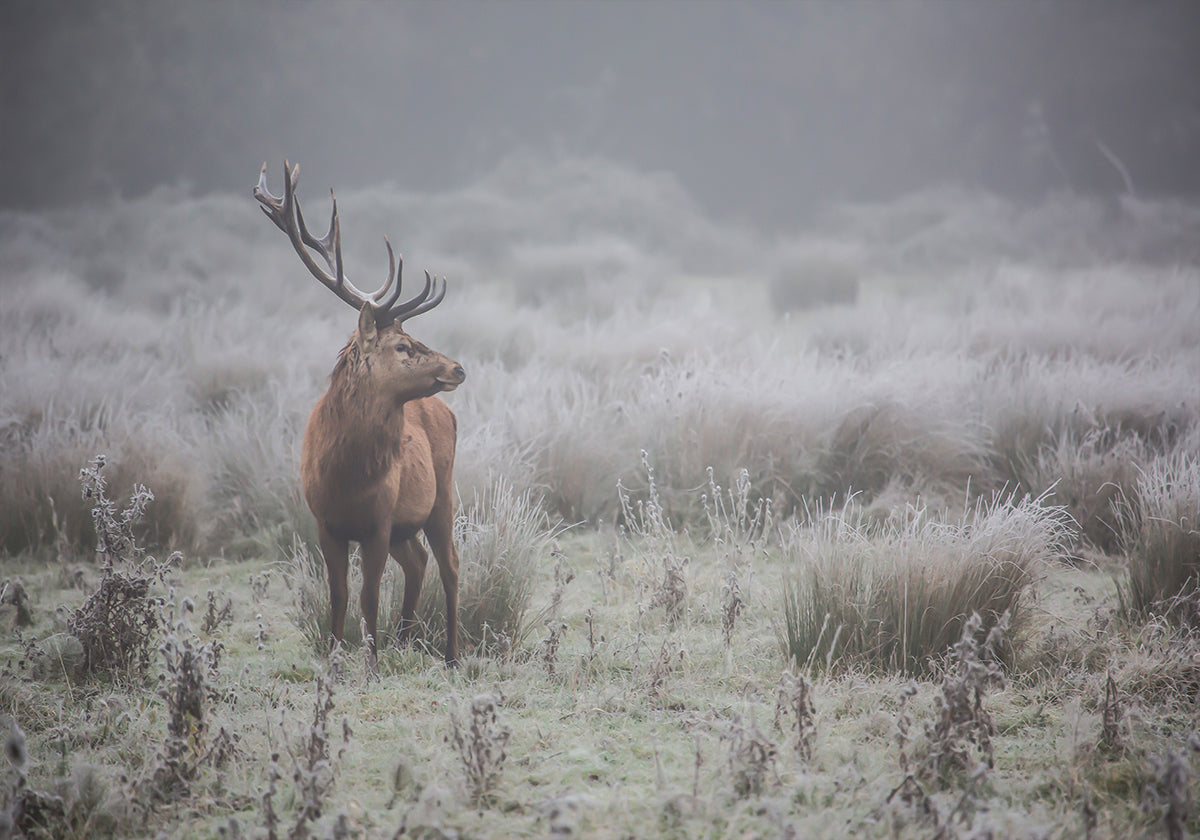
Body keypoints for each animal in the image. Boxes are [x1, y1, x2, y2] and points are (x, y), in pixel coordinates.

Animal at [254, 161, 466, 669]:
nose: (458, 367)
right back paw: (405, 641)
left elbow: (369, 596)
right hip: (408, 525)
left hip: (442, 493)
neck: (346, 474)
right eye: (403, 345)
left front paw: (369, 664)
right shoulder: (325, 523)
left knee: (449, 565)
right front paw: (337, 658)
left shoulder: (380, 520)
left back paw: (451, 655)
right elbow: (339, 596)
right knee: (420, 562)